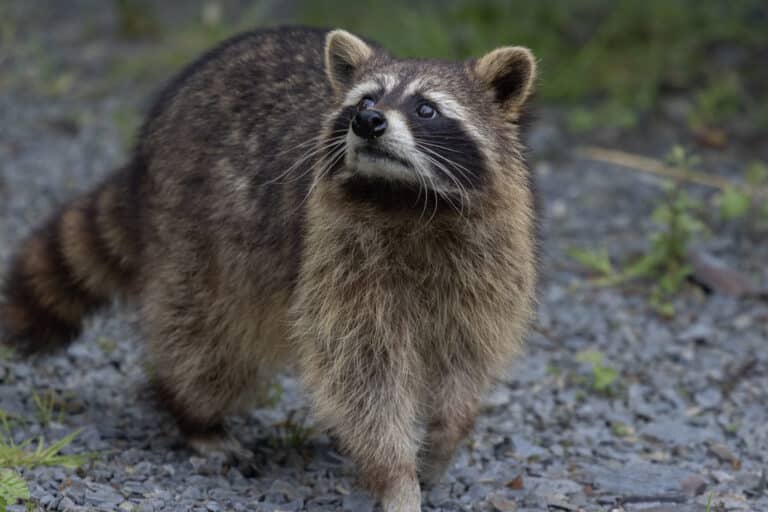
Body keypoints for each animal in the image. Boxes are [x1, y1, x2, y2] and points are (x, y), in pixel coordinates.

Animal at [0, 27, 537, 511]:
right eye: (365, 99)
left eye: (426, 108)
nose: (367, 120)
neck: (405, 198)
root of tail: (143, 157)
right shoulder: (339, 258)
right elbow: (363, 373)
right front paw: (395, 474)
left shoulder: (489, 260)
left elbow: (467, 359)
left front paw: (445, 437)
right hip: (192, 230)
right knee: (203, 342)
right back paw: (196, 417)